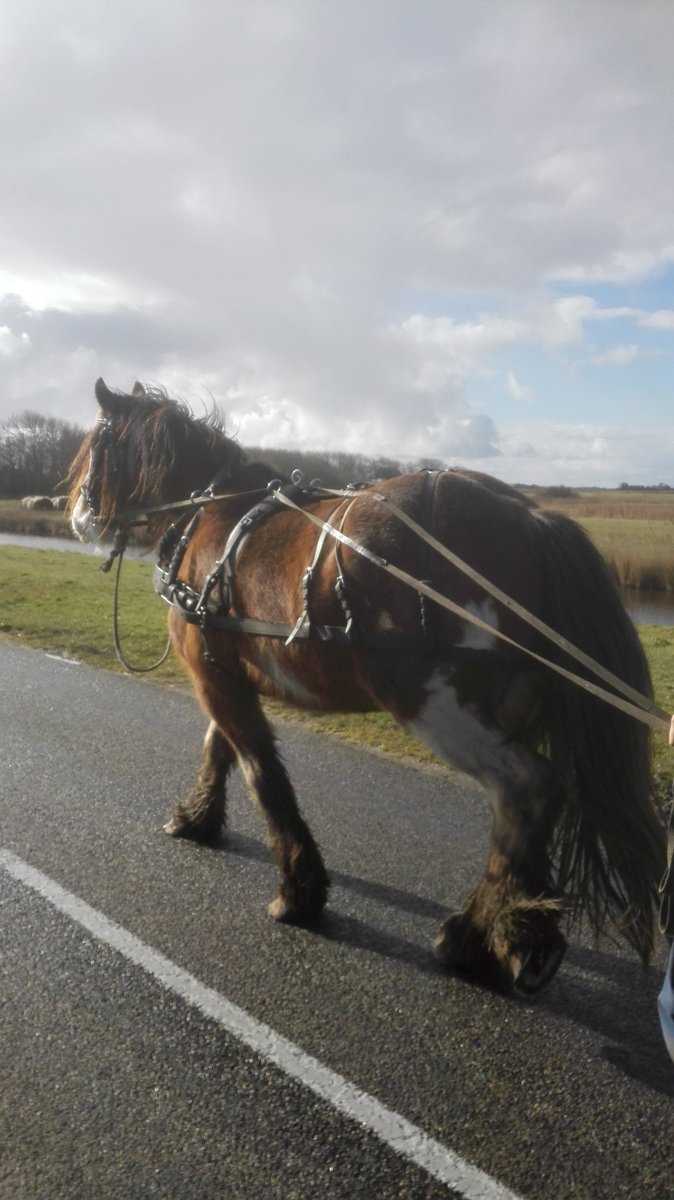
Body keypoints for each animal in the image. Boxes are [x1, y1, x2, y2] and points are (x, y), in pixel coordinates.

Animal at [67, 378, 665, 995]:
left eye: (96, 445)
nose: (78, 517)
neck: (215, 514)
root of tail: (531, 519)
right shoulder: (226, 671)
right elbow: (219, 748)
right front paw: (197, 818)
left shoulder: (209, 671)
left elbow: (261, 772)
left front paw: (299, 893)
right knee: (528, 816)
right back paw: (516, 930)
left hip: (433, 702)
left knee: (526, 790)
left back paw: (477, 937)